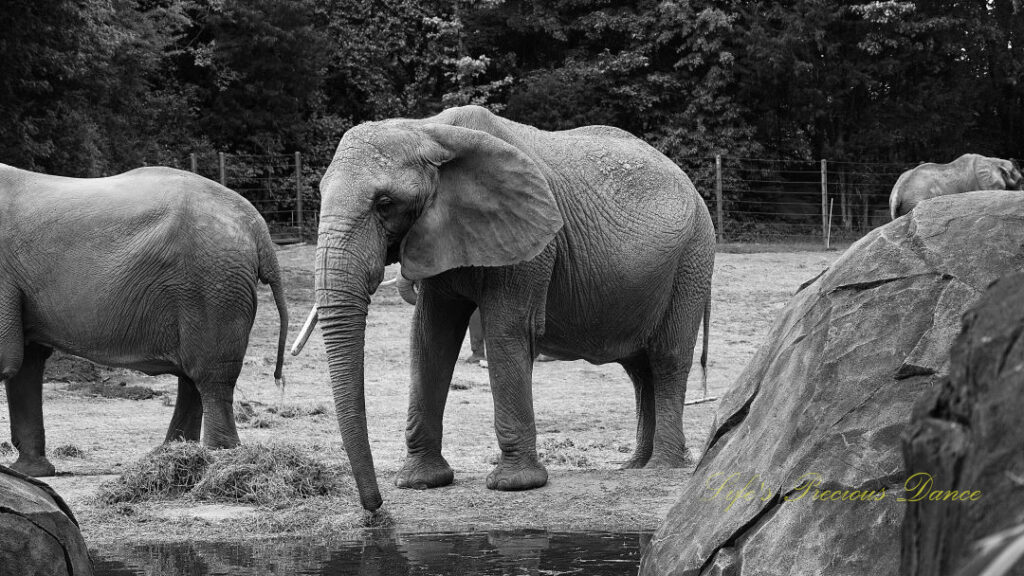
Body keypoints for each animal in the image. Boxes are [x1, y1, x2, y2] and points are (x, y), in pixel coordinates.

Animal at [1, 162, 288, 475]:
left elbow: (8, 361)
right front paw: (29, 473)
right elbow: (26, 362)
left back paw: (216, 457)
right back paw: (172, 453)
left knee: (210, 375)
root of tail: (257, 226)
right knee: (192, 377)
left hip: (213, 285)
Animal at [294, 105, 712, 508]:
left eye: (384, 203)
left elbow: (505, 332)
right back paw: (634, 466)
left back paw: (661, 466)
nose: (376, 510)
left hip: (692, 258)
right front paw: (419, 482)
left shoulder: (532, 246)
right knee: (640, 371)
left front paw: (515, 485)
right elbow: (430, 337)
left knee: (667, 359)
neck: (429, 130)